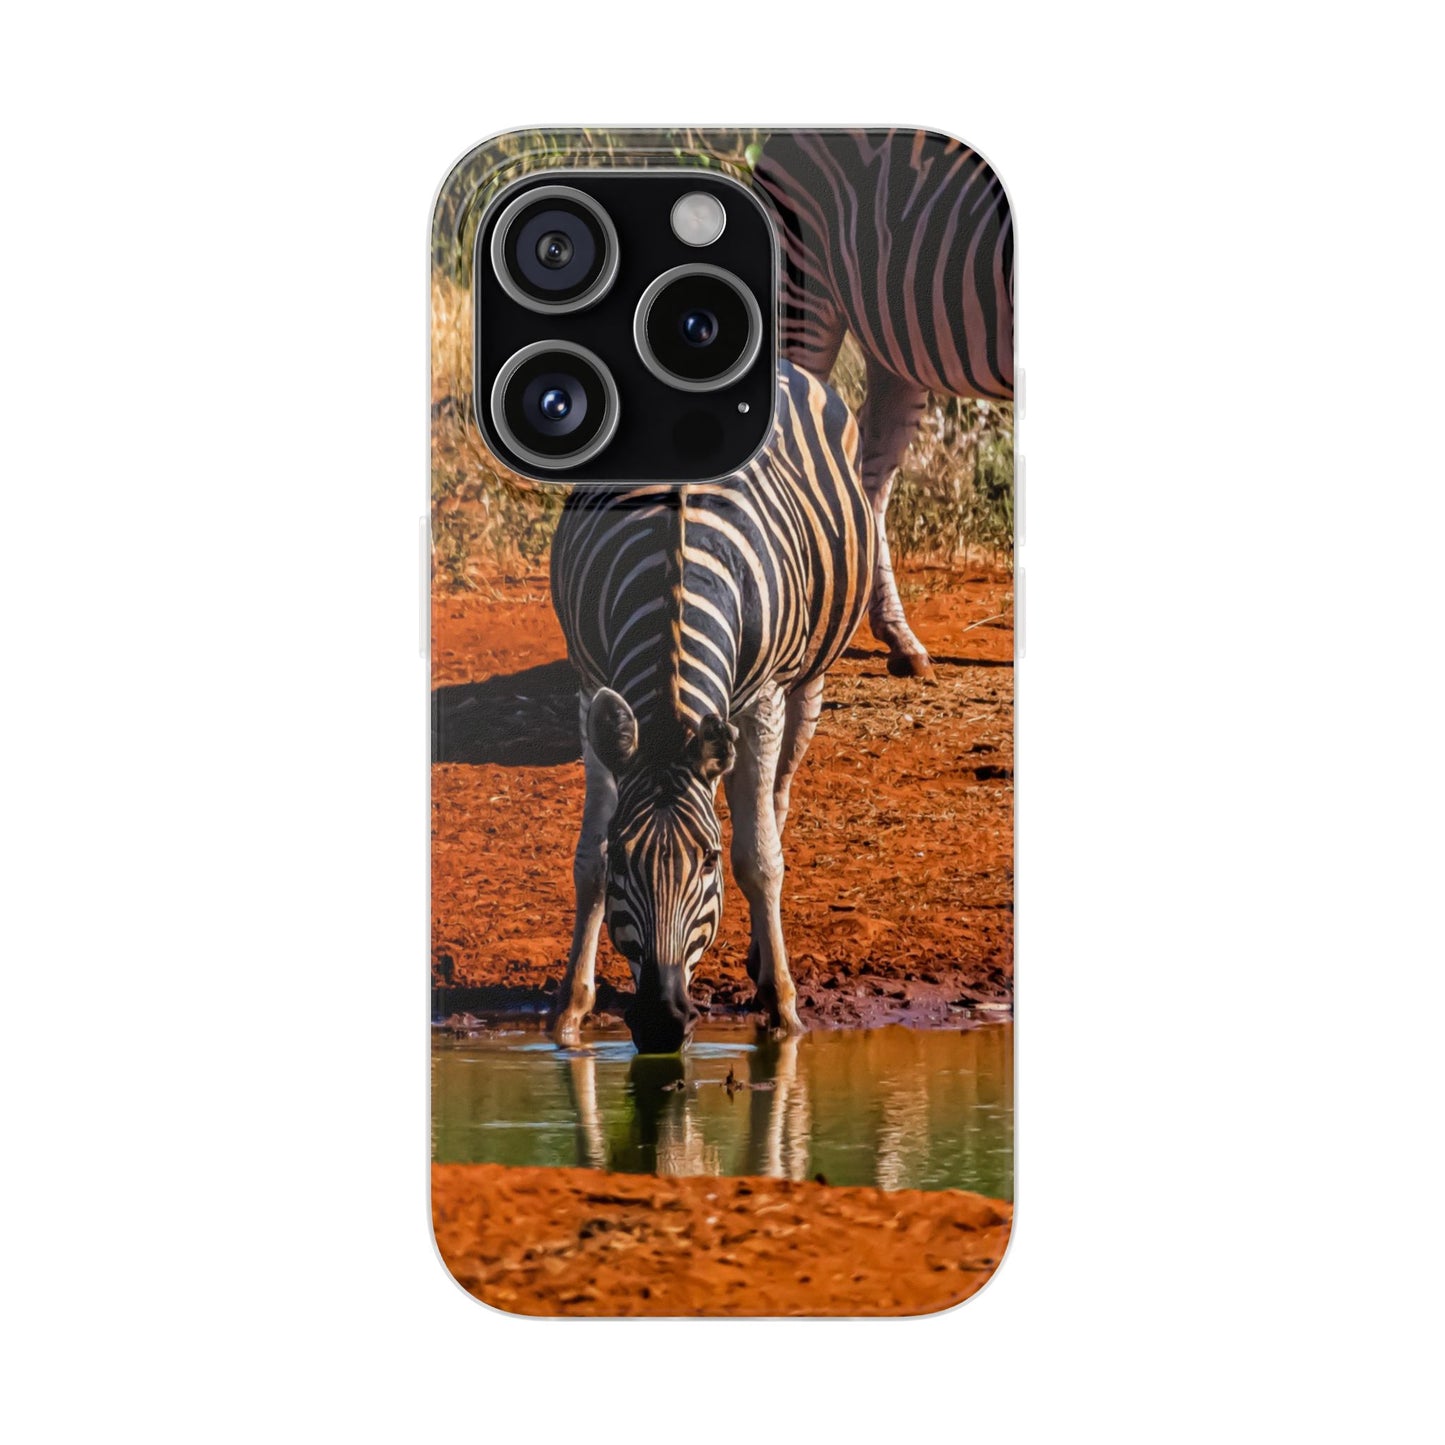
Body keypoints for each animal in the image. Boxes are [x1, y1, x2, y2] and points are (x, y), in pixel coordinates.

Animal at [550, 360, 876, 1053]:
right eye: (626, 858)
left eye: (707, 861)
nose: (661, 1022)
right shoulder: (591, 688)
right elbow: (587, 860)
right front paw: (569, 1010)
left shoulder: (763, 700)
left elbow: (760, 859)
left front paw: (783, 1009)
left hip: (807, 681)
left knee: (775, 804)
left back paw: (762, 958)